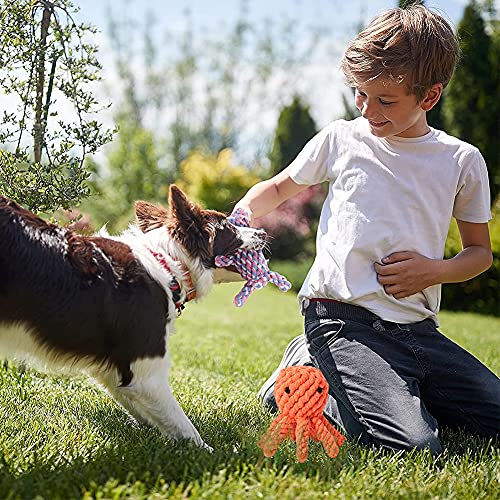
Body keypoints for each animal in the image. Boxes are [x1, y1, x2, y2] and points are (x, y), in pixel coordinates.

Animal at [0, 185, 266, 450]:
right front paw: (213, 452)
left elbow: (142, 407)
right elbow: (184, 426)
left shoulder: (113, 368)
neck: (168, 263)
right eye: (228, 227)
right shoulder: (147, 371)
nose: (262, 232)